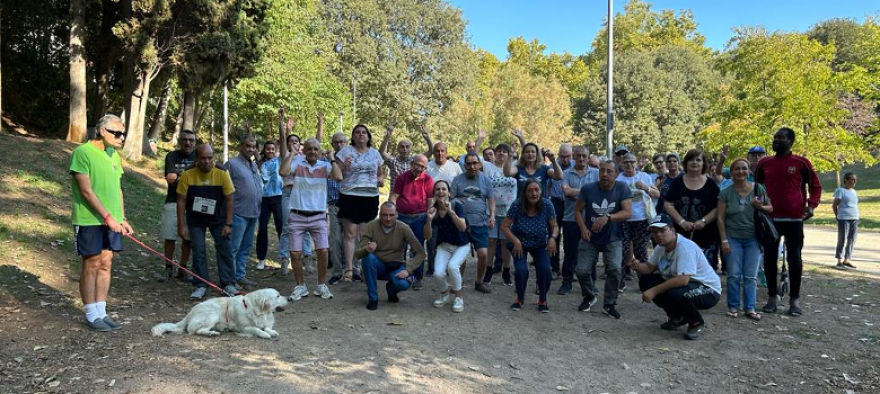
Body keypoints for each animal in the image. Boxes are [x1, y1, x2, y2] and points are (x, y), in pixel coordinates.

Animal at [151, 288, 288, 340]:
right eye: (278, 296)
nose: (288, 298)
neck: (260, 312)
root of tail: (189, 313)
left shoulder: (266, 322)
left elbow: (267, 327)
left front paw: (271, 332)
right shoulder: (243, 328)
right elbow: (256, 329)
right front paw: (264, 334)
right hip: (214, 313)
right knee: (194, 330)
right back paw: (212, 333)